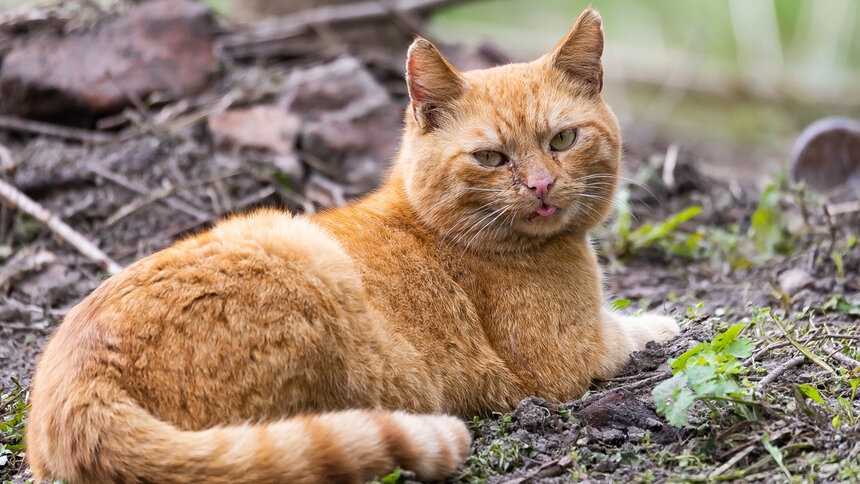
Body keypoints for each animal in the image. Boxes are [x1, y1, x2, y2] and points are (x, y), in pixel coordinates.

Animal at [26, 8, 680, 484]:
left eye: (563, 139)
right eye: (491, 158)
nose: (541, 185)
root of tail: (76, 389)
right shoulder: (566, 360)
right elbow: (631, 331)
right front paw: (663, 322)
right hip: (305, 266)